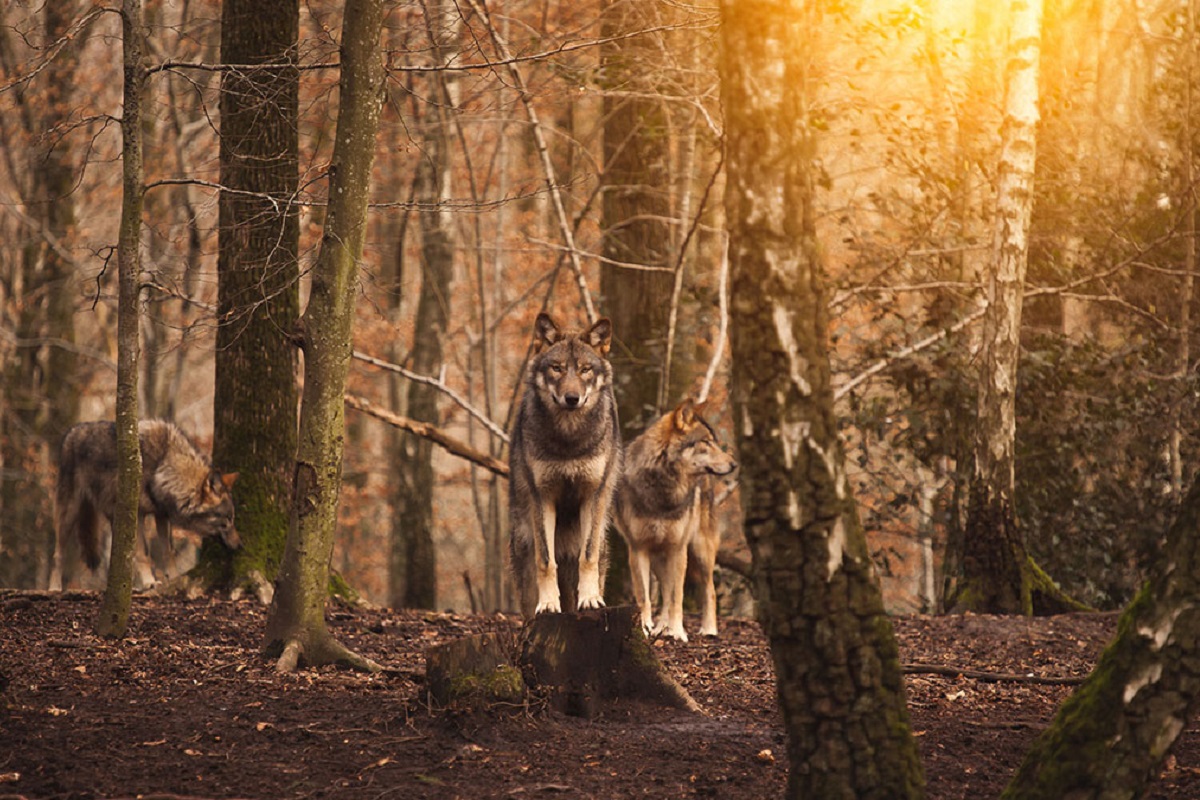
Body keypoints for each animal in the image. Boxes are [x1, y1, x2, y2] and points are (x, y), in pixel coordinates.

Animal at [54, 419, 240, 587]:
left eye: (232, 518)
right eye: (227, 520)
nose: (240, 545)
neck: (162, 468)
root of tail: (73, 430)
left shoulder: (161, 515)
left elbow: (168, 551)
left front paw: (173, 578)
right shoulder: (137, 515)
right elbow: (144, 553)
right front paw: (149, 582)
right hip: (70, 513)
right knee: (58, 553)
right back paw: (54, 588)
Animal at [506, 311, 624, 614]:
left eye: (585, 370)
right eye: (557, 368)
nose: (572, 398)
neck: (569, 439)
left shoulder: (593, 494)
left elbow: (588, 556)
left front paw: (590, 599)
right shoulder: (542, 496)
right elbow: (547, 561)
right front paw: (548, 604)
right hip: (523, 551)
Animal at [614, 400, 734, 642]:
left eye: (715, 441)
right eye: (706, 442)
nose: (734, 464)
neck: (663, 487)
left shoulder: (678, 548)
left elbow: (677, 596)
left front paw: (678, 632)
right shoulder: (638, 549)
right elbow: (644, 596)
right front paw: (644, 628)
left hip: (700, 551)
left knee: (708, 590)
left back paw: (708, 630)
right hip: (659, 557)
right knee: (665, 591)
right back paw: (660, 627)